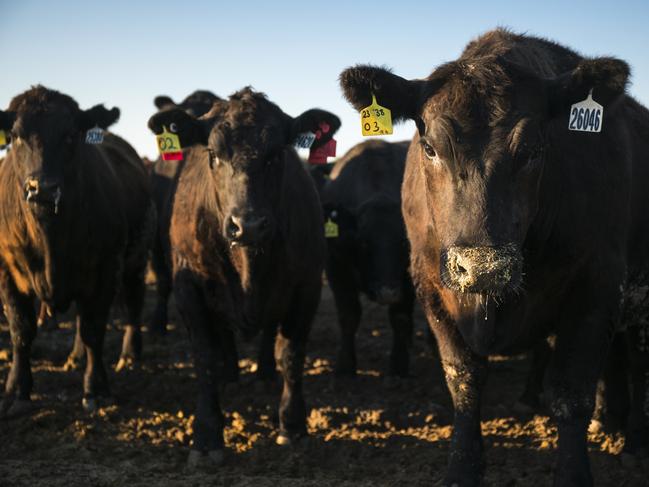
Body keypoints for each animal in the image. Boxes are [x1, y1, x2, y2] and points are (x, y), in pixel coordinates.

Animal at [0, 87, 154, 416]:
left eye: (70, 134)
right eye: (16, 136)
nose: (43, 188)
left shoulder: (106, 270)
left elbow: (94, 330)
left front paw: (95, 388)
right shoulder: (6, 271)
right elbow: (21, 331)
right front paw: (18, 390)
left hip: (137, 261)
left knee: (133, 305)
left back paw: (129, 355)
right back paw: (75, 357)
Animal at [147, 86, 340, 466]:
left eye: (276, 153)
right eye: (213, 154)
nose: (247, 224)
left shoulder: (307, 285)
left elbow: (291, 353)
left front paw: (292, 426)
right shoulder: (188, 287)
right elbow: (204, 357)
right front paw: (207, 435)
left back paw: (262, 374)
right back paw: (230, 375)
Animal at [318, 141, 416, 378]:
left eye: (404, 243)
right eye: (363, 243)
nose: (388, 293)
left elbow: (400, 317)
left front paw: (398, 366)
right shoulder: (336, 268)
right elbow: (349, 316)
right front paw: (345, 367)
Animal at [340, 28, 648, 486]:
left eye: (535, 148)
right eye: (430, 147)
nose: (483, 268)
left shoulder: (599, 285)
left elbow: (571, 391)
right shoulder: (430, 287)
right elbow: (464, 382)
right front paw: (462, 468)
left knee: (642, 360)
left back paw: (635, 443)